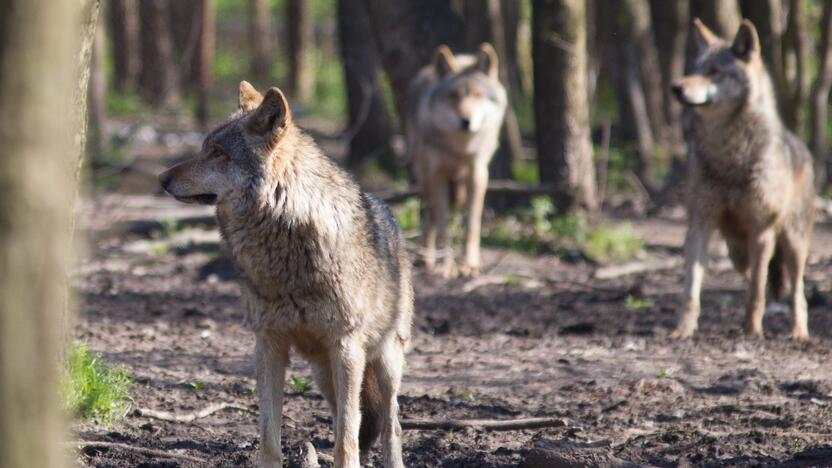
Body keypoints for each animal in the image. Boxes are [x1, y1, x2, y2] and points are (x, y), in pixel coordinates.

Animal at [157, 82, 412, 466]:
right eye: (204, 148)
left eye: (218, 153)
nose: (162, 179)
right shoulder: (268, 343)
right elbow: (269, 437)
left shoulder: (346, 345)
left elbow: (346, 441)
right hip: (324, 373)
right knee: (351, 417)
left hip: (383, 360)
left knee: (389, 424)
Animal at [404, 42, 508, 276]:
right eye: (453, 96)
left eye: (477, 95)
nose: (465, 121)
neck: (460, 147)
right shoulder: (438, 175)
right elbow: (443, 223)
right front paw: (447, 266)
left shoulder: (477, 173)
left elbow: (472, 224)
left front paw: (469, 264)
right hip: (424, 176)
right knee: (430, 214)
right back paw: (427, 257)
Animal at [668, 18, 812, 340]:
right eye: (695, 69)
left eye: (714, 72)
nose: (676, 87)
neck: (729, 156)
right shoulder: (699, 224)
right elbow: (690, 289)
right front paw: (683, 331)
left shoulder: (762, 230)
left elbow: (756, 291)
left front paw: (752, 332)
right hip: (737, 250)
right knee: (755, 272)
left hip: (793, 243)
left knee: (796, 291)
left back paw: (798, 332)